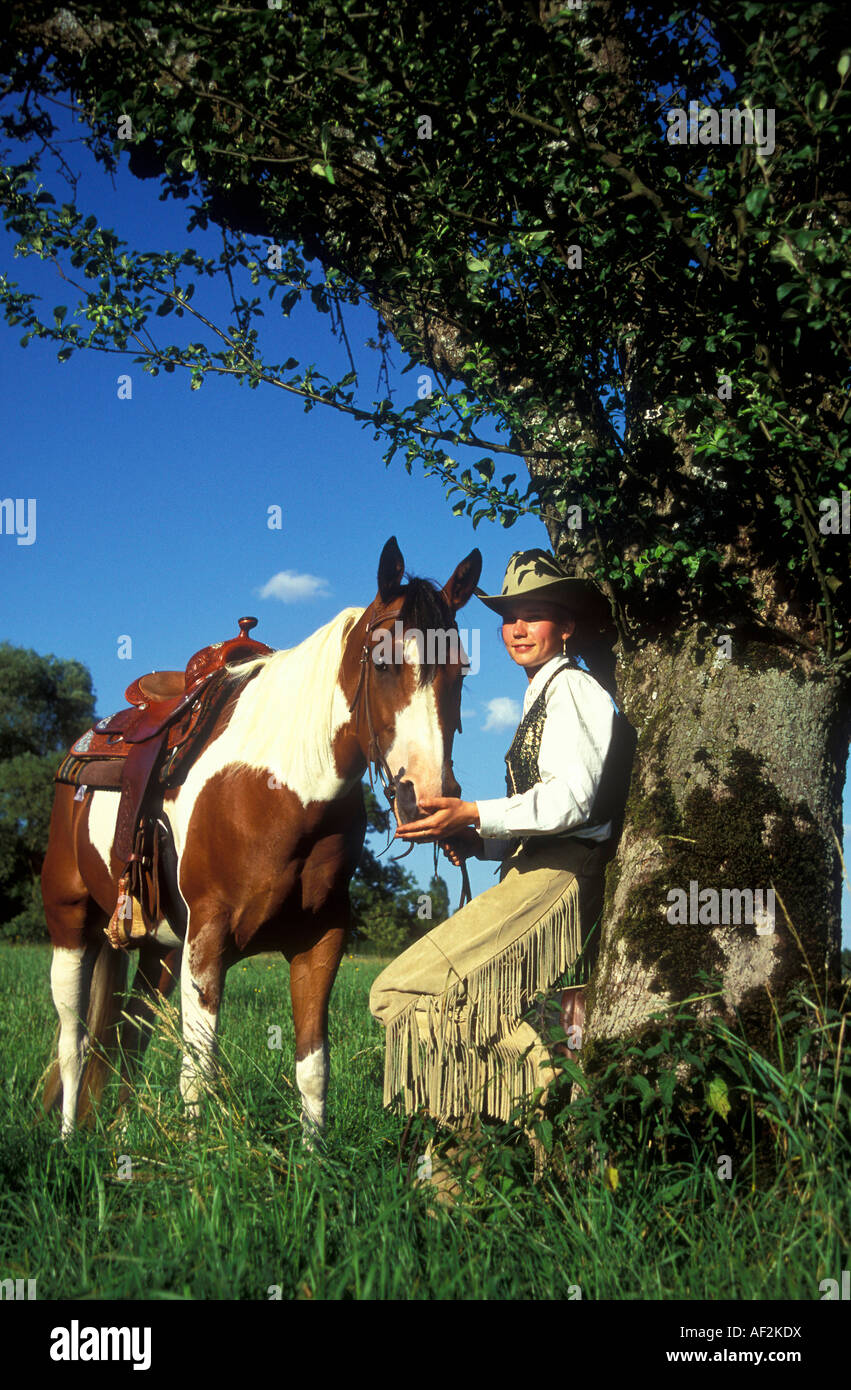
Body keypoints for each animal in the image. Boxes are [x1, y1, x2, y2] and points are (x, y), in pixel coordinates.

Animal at [40, 536, 482, 1141]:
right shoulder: (207, 940)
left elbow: (313, 1067)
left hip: (158, 949)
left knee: (129, 1037)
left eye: (460, 669)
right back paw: (66, 1139)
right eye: (384, 661)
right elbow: (197, 1071)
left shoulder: (320, 940)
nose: (430, 801)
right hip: (70, 921)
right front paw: (197, 1157)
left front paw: (314, 1154)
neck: (281, 787)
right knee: (73, 1038)